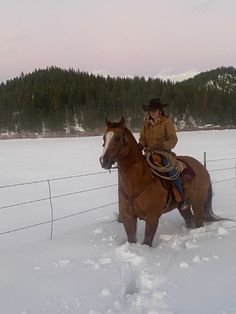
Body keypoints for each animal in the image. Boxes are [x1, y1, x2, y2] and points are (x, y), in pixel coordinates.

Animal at [99, 116, 223, 247]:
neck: (136, 182)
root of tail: (202, 168)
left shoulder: (152, 218)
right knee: (189, 219)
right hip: (183, 207)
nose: (104, 161)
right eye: (104, 138)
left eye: (118, 138)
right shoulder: (128, 218)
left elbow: (147, 241)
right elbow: (131, 239)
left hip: (197, 203)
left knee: (199, 222)